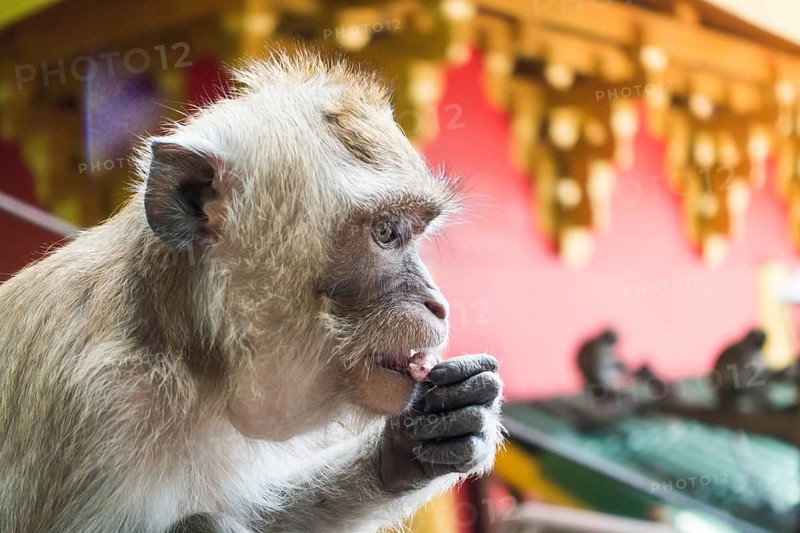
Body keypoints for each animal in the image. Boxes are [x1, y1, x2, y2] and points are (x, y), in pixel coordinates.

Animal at [0, 49, 504, 532]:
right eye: (385, 232)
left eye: (412, 232)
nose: (438, 304)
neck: (185, 350)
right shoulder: (102, 407)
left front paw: (405, 450)